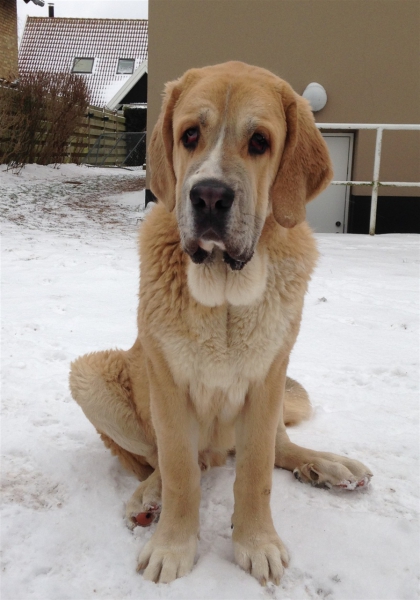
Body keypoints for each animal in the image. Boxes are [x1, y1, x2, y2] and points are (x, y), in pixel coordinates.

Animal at [69, 62, 374, 584]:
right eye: (190, 134)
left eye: (260, 142)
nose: (209, 196)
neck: (226, 295)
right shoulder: (168, 385)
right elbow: (179, 470)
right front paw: (171, 546)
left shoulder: (267, 379)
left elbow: (256, 472)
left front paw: (257, 542)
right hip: (90, 374)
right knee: (164, 463)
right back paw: (149, 496)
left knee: (279, 449)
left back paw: (329, 466)